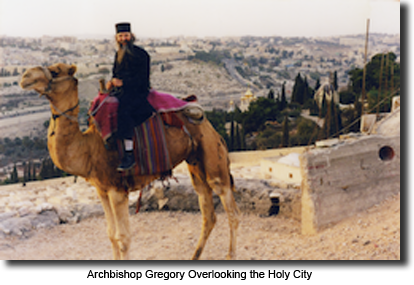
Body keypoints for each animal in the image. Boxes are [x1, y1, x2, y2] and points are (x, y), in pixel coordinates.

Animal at [20, 62, 239, 260]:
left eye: (56, 71)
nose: (25, 76)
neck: (89, 147)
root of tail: (206, 121)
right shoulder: (102, 190)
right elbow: (111, 234)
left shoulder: (118, 190)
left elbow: (123, 237)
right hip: (195, 163)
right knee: (207, 212)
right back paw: (194, 256)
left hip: (212, 154)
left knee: (230, 209)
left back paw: (230, 255)